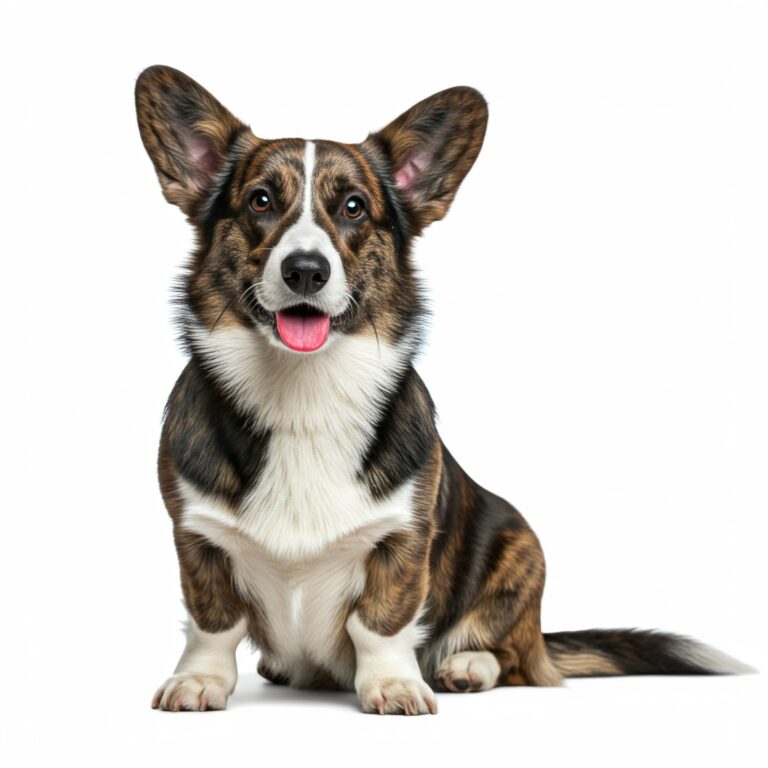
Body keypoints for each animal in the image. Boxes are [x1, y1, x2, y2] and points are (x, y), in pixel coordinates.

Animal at [134, 64, 752, 712]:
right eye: (259, 200)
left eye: (354, 207)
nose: (305, 270)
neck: (303, 391)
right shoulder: (196, 536)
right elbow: (215, 621)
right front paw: (199, 680)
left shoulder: (404, 537)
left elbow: (380, 621)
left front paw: (393, 685)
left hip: (519, 543)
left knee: (513, 657)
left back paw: (466, 667)